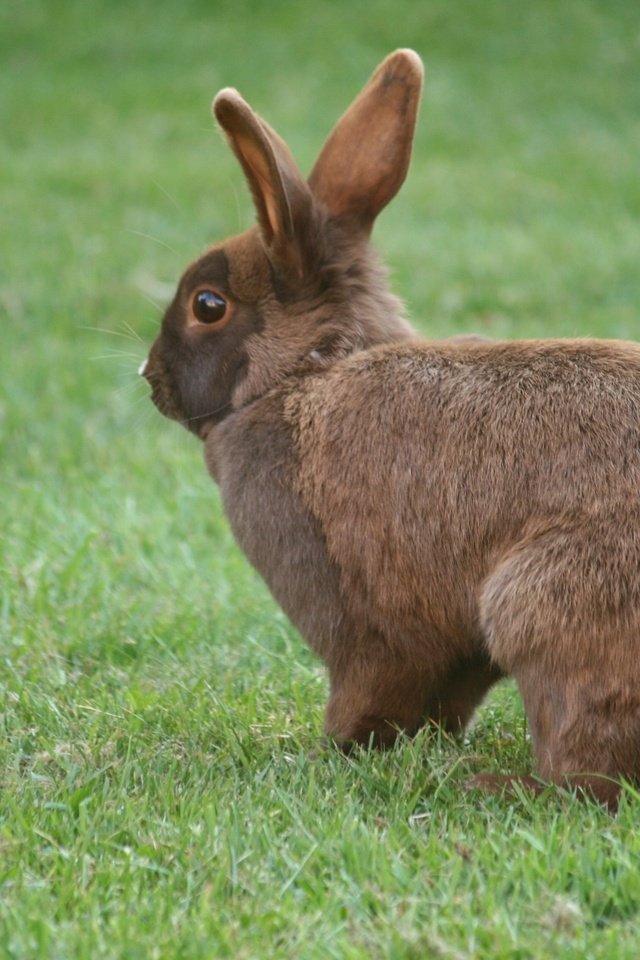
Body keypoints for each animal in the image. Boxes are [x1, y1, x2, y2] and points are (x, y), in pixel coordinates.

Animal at [141, 48, 640, 808]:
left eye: (208, 305)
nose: (148, 376)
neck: (302, 375)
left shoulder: (364, 621)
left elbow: (373, 690)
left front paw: (331, 751)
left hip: (543, 607)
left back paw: (497, 786)